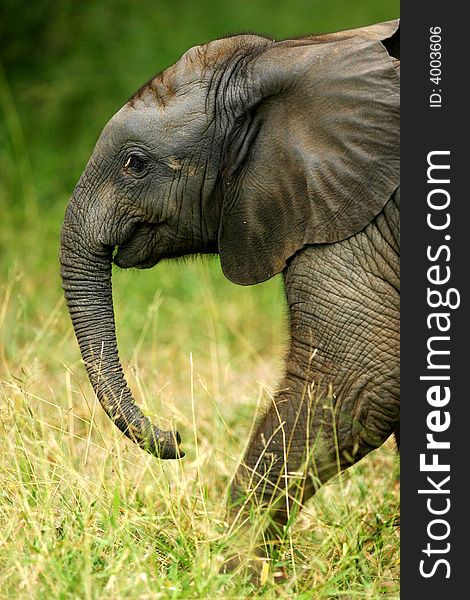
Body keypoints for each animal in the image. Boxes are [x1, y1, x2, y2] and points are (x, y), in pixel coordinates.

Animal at [59, 19, 400, 548]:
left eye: (135, 164)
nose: (179, 439)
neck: (279, 60)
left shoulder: (359, 216)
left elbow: (354, 384)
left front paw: (234, 560)